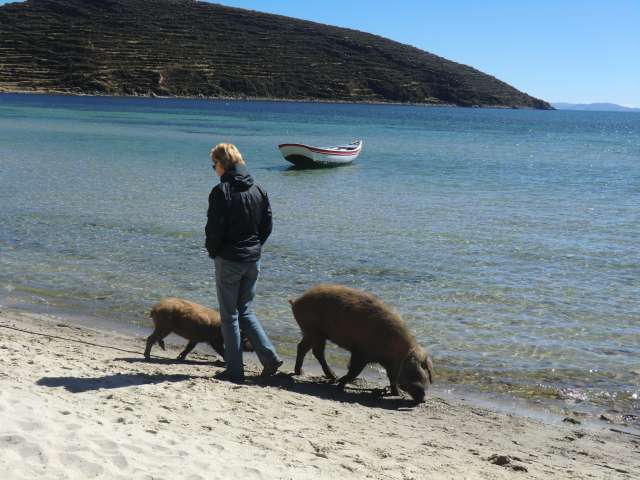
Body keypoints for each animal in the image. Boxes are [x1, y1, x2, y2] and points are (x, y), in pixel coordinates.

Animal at [292, 284, 436, 402]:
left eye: (426, 373)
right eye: (415, 371)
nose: (423, 400)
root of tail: (296, 301)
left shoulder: (388, 364)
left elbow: (392, 378)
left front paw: (397, 393)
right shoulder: (361, 352)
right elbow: (354, 371)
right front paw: (340, 384)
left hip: (319, 334)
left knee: (316, 352)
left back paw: (330, 376)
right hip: (312, 330)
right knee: (303, 348)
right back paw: (303, 373)